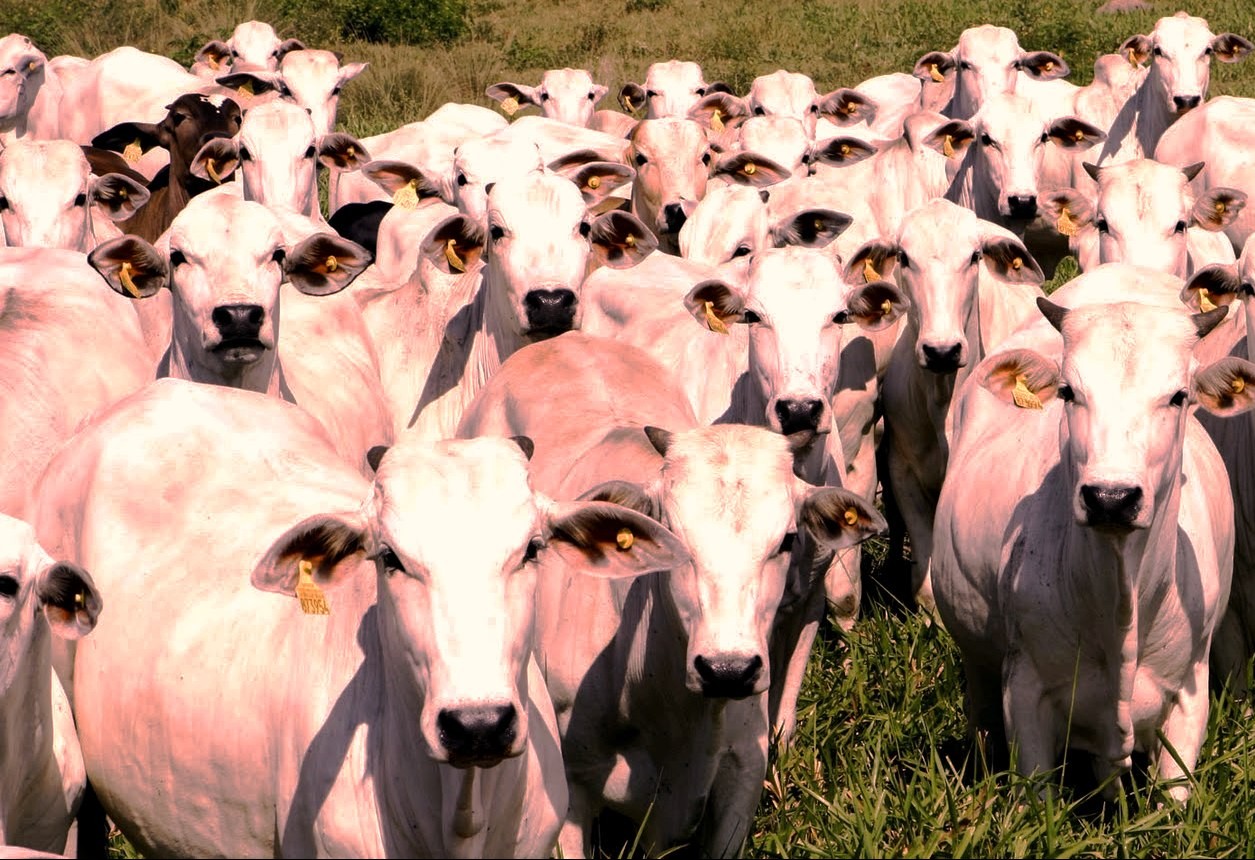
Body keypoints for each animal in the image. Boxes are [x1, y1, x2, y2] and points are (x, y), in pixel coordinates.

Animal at [928, 264, 1249, 803]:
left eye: (1178, 396)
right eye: (1068, 393)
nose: (1111, 498)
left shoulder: (1190, 695)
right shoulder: (1025, 693)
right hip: (978, 662)